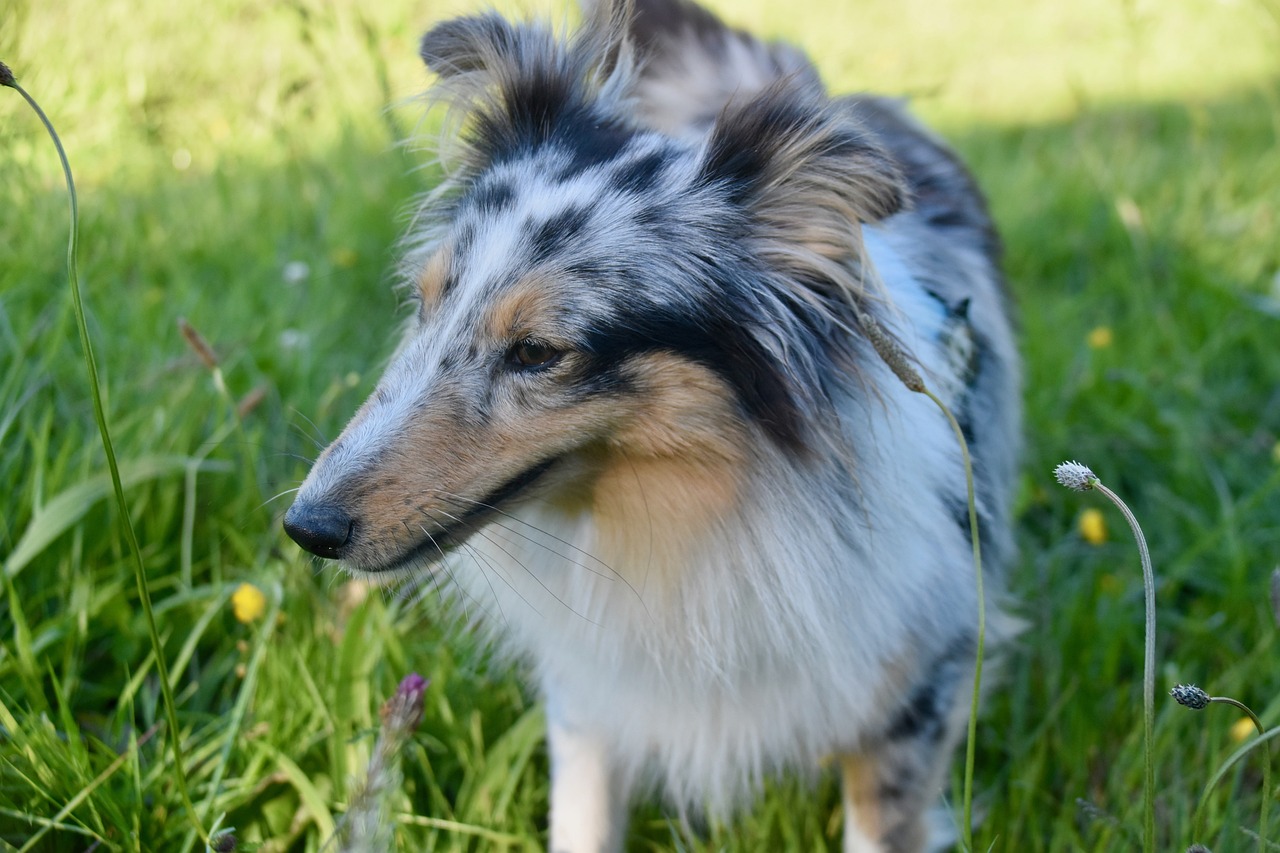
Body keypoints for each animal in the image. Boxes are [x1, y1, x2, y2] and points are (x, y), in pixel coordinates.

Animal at [282, 3, 1018, 845]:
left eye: (538, 350)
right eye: (424, 303)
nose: (306, 527)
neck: (695, 517)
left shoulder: (914, 693)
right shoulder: (591, 695)